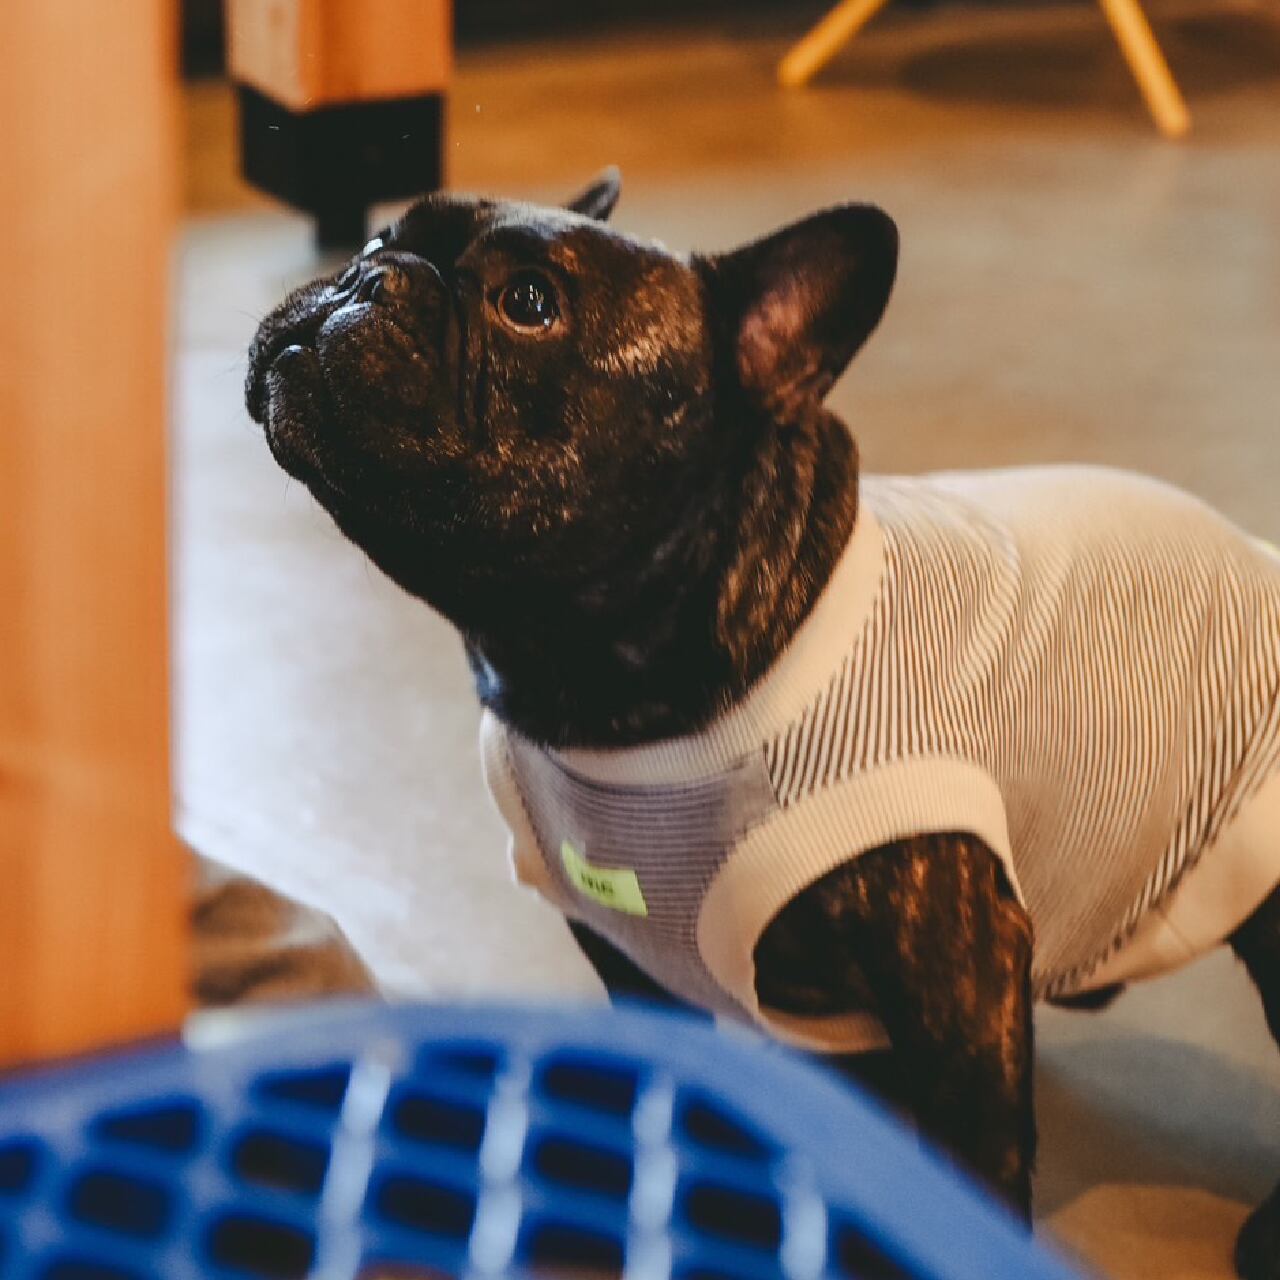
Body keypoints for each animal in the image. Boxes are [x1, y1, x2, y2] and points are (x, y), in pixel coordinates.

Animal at [246, 171, 1280, 1277]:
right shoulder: (634, 963)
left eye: (529, 303)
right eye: (385, 235)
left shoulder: (958, 988)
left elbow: (975, 1162)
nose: (368, 275)